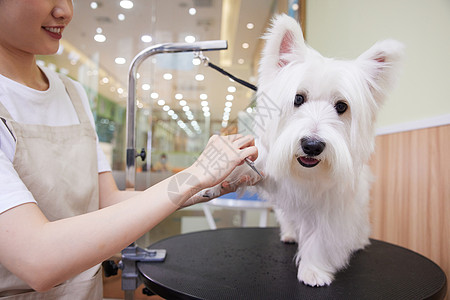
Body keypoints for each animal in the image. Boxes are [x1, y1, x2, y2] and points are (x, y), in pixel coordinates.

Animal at [206, 15, 402, 288]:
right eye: (298, 98)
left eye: (342, 106)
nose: (312, 145)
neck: (304, 172)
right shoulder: (267, 167)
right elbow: (245, 164)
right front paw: (215, 181)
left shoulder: (331, 207)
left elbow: (321, 238)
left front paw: (314, 272)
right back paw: (290, 234)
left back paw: (357, 242)